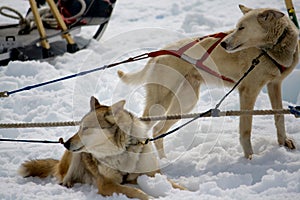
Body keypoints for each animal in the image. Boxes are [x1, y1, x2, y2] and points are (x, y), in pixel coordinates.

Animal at [18, 96, 184, 198]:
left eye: (85, 128)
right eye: (79, 128)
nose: (65, 143)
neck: (123, 150)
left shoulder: (153, 174)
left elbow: (177, 186)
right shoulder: (106, 184)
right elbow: (135, 191)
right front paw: (149, 196)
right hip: (76, 156)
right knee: (63, 178)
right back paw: (68, 183)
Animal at [118, 5, 298, 159]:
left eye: (241, 27)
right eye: (237, 26)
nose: (223, 43)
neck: (270, 50)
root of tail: (157, 54)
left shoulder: (274, 85)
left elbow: (279, 116)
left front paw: (283, 142)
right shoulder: (248, 92)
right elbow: (246, 129)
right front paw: (249, 157)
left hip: (186, 103)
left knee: (157, 131)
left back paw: (163, 159)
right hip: (161, 101)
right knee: (146, 127)